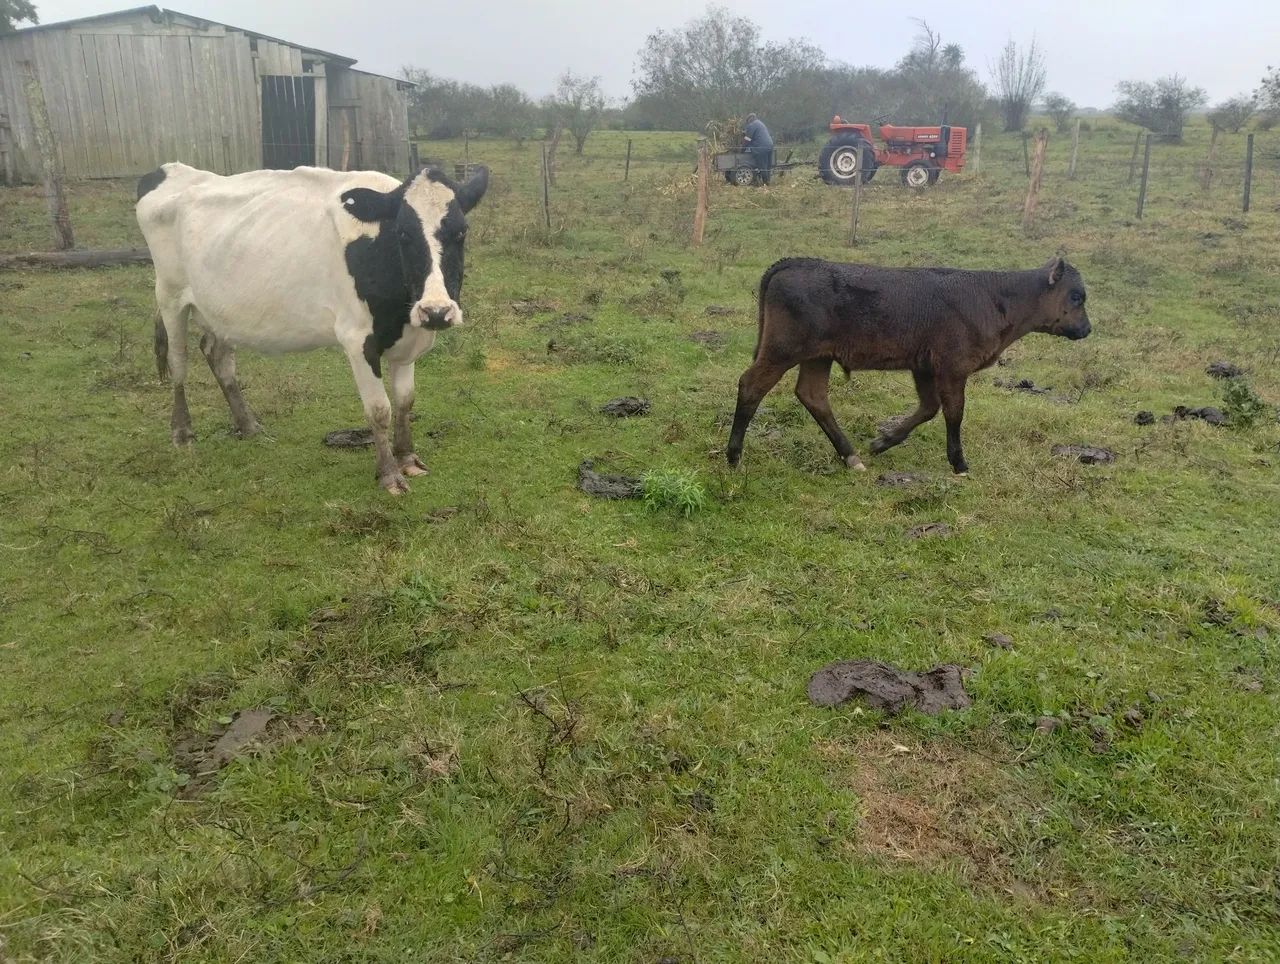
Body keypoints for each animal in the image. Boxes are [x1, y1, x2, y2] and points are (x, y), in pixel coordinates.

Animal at [135, 161, 489, 494]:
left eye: (461, 232)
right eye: (403, 233)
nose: (436, 311)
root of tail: (170, 169)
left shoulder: (408, 339)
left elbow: (405, 401)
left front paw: (408, 459)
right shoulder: (356, 338)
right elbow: (379, 410)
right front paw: (389, 474)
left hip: (219, 311)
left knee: (217, 355)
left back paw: (248, 426)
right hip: (170, 295)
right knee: (178, 361)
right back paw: (182, 432)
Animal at [726, 256, 1091, 475]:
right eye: (1076, 297)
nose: (1087, 329)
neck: (995, 297)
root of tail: (795, 262)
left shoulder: (925, 366)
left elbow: (928, 408)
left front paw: (883, 442)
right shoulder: (952, 366)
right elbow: (954, 412)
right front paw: (959, 463)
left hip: (818, 356)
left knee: (812, 396)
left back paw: (851, 457)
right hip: (782, 350)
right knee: (751, 385)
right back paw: (733, 457)